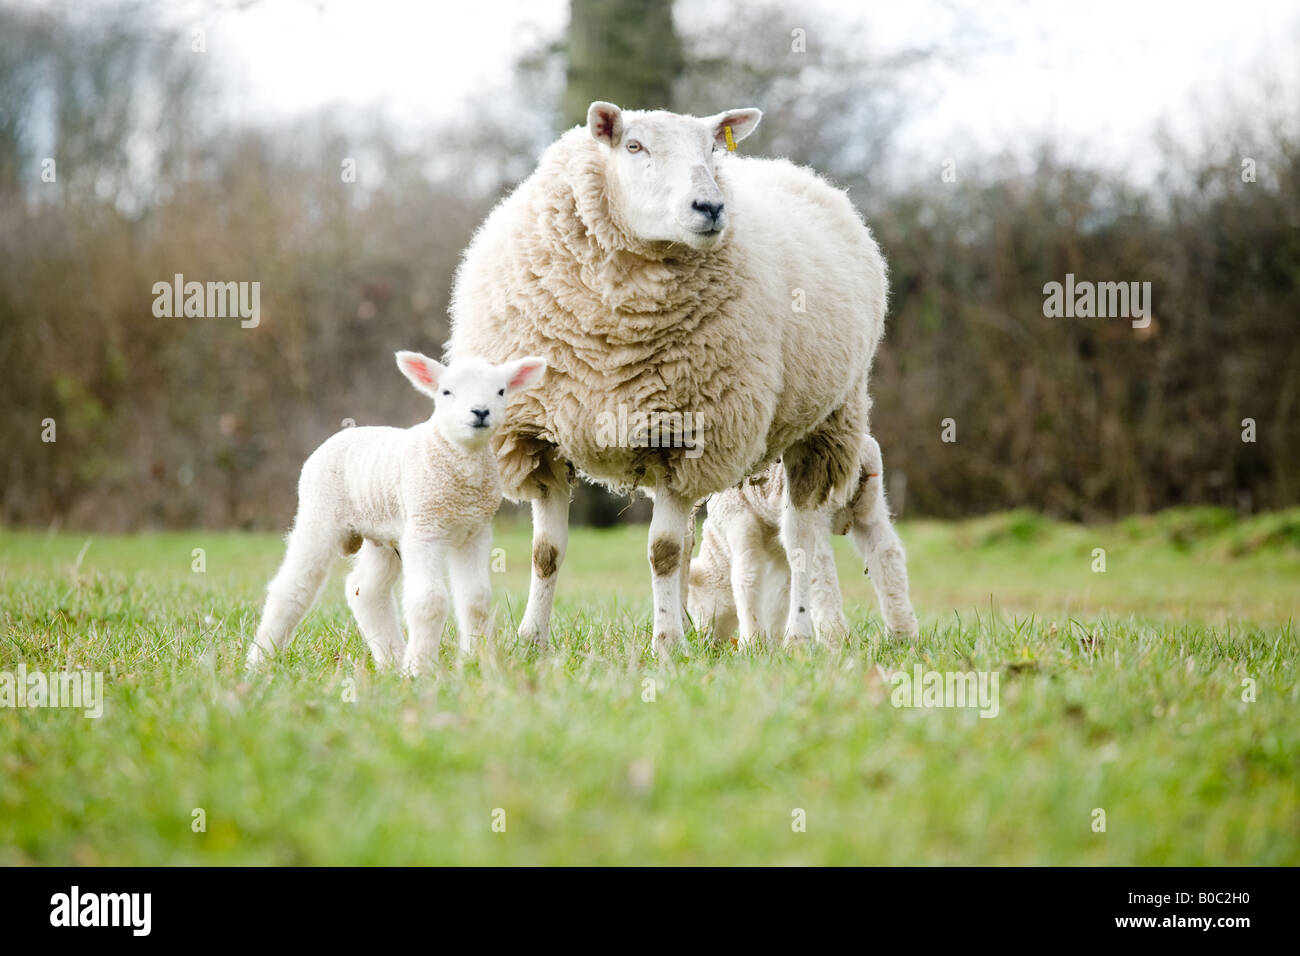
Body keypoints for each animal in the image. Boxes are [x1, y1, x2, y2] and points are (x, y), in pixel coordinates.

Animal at [245, 351, 547, 674]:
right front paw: (421, 669)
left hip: (383, 534)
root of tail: (337, 437)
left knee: (364, 590)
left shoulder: (474, 531)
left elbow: (476, 600)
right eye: (446, 392)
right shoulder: (424, 528)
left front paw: (476, 662)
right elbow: (428, 601)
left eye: (501, 391)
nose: (480, 412)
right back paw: (258, 661)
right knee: (292, 588)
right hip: (320, 512)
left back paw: (391, 660)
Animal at [447, 101, 890, 657]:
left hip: (827, 423)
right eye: (634, 146)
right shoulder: (539, 437)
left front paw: (664, 646)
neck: (610, 331)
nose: (711, 207)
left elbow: (661, 551)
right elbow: (546, 552)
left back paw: (796, 635)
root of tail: (796, 171)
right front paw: (531, 641)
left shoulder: (694, 438)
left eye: (712, 150)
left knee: (800, 540)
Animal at [687, 434, 919, 646]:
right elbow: (781, 593)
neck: (719, 546)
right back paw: (902, 634)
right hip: (870, 504)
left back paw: (833, 638)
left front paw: (753, 643)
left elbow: (746, 577)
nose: (703, 644)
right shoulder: (778, 555)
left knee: (820, 570)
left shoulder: (739, 520)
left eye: (695, 606)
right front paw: (774, 642)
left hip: (811, 511)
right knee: (887, 553)